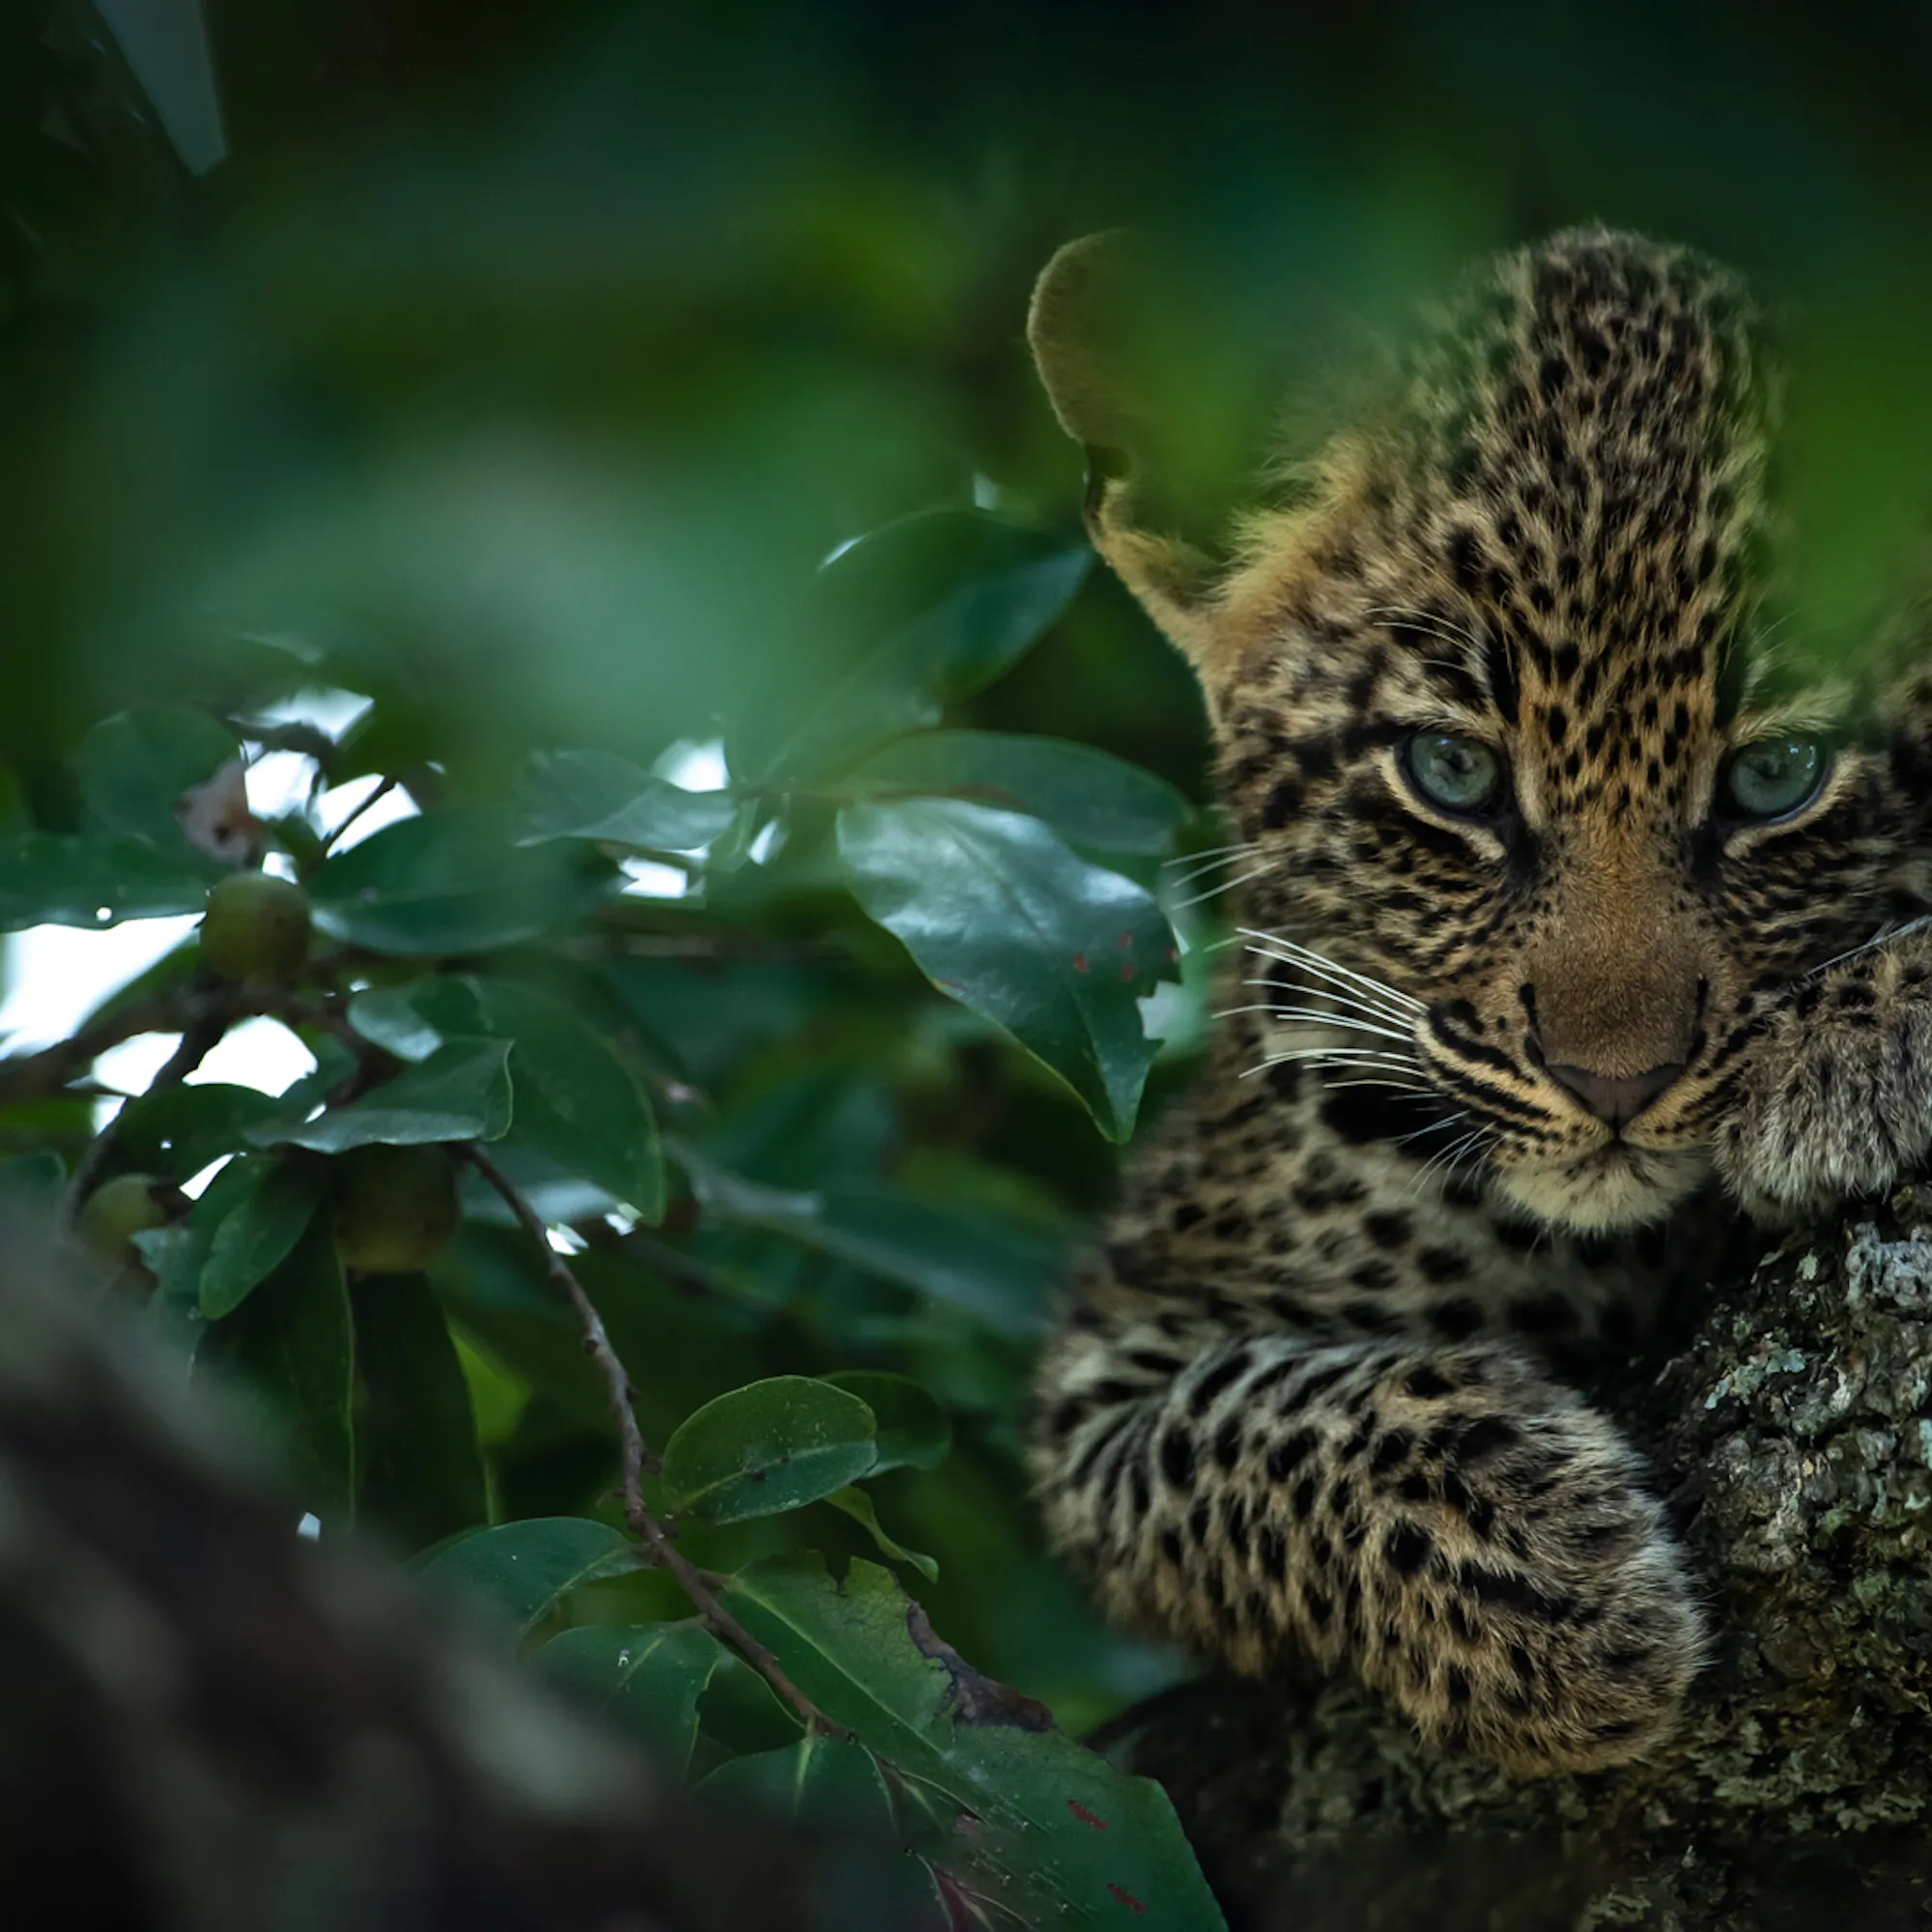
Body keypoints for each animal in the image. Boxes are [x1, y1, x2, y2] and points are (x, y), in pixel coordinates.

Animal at [1024, 224, 1932, 1775]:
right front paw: (1542, 1585)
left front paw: (1858, 1041)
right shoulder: (1106, 1367)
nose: (1614, 1081)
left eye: (1777, 777)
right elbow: (1250, 1426)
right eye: (1449, 774)